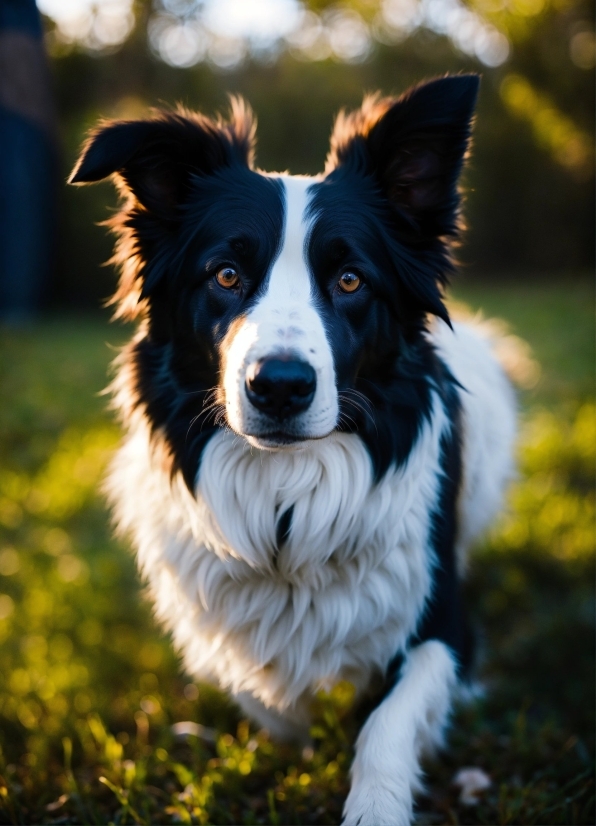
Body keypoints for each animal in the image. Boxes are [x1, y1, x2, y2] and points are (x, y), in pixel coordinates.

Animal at [70, 74, 516, 820]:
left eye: (350, 280)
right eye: (225, 275)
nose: (279, 386)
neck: (285, 493)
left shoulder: (439, 616)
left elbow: (390, 718)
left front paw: (375, 804)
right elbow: (258, 683)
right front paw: (290, 728)